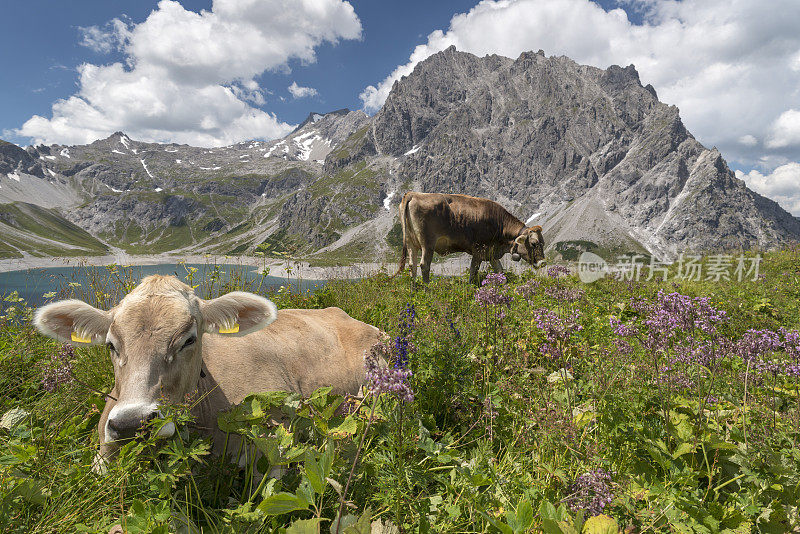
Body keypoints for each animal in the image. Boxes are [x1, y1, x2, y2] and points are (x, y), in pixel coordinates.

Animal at [392, 193, 548, 284]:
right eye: (534, 243)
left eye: (543, 243)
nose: (543, 263)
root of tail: (413, 194)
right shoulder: (479, 250)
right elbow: (473, 271)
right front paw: (471, 287)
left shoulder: (491, 253)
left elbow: (500, 273)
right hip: (427, 243)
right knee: (424, 265)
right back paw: (426, 289)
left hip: (411, 243)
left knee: (412, 266)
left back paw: (414, 289)